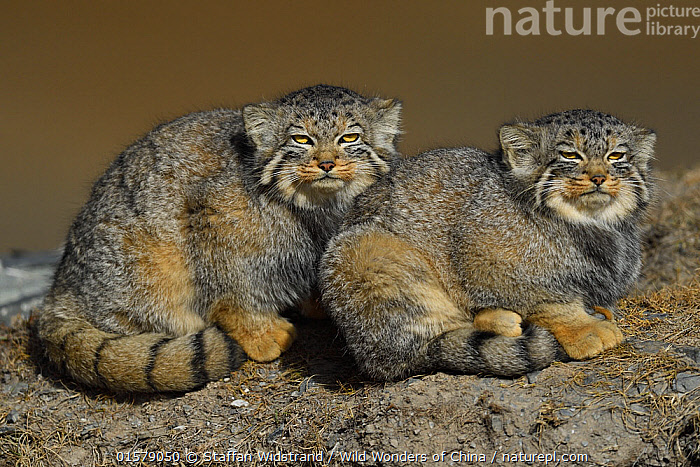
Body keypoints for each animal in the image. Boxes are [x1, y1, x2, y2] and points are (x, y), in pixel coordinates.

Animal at [35, 84, 402, 392]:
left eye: (350, 137)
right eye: (301, 140)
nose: (326, 163)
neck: (313, 208)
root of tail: (62, 287)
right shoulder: (212, 214)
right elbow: (230, 290)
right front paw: (258, 332)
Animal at [322, 111, 656, 382]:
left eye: (616, 156)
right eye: (570, 155)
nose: (599, 177)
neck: (590, 224)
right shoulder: (484, 259)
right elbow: (550, 301)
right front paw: (583, 327)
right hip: (367, 254)